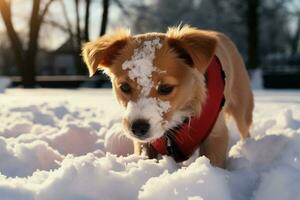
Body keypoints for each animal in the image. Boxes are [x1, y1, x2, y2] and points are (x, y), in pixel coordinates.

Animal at [81, 25, 253, 168]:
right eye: (124, 87)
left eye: (165, 88)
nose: (138, 128)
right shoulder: (145, 144)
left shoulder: (216, 136)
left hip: (242, 107)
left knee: (245, 130)